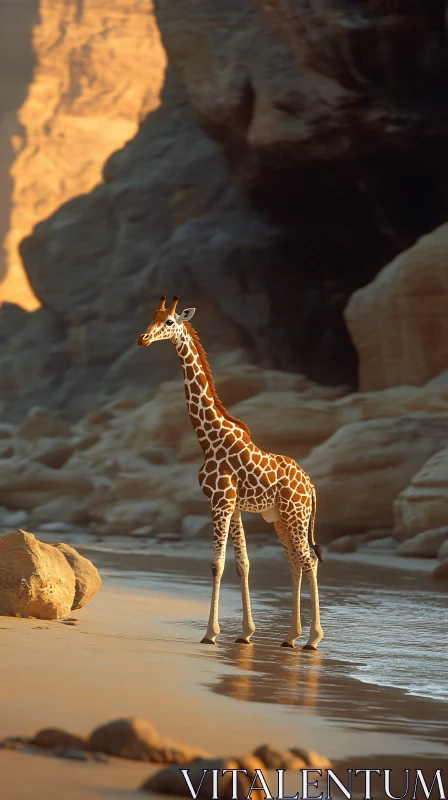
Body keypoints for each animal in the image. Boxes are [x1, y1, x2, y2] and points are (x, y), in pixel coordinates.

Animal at [138, 294, 324, 648]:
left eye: (168, 322)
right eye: (150, 316)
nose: (143, 338)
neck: (209, 439)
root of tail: (311, 486)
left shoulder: (220, 502)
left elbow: (217, 564)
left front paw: (211, 633)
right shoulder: (234, 506)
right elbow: (243, 564)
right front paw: (245, 633)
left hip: (296, 516)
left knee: (309, 561)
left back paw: (313, 639)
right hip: (279, 518)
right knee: (295, 563)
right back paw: (290, 637)